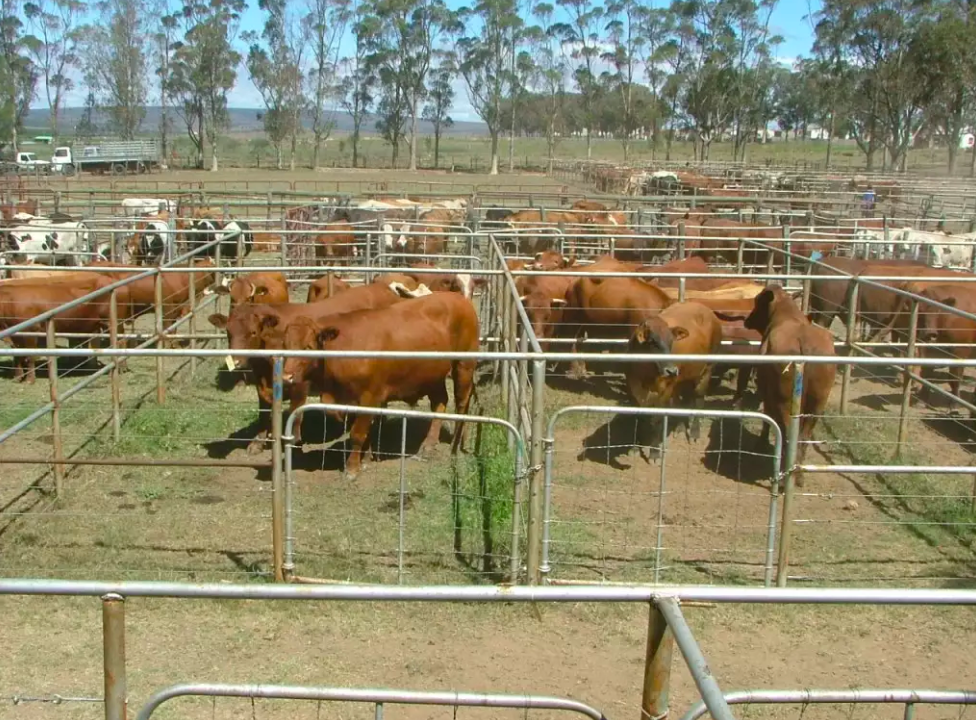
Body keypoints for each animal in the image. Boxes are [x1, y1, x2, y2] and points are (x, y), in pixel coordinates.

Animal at [269, 292, 480, 478]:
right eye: (285, 345)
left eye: (308, 347)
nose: (286, 377)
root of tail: (459, 298)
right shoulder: (352, 401)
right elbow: (364, 430)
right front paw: (366, 458)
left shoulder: (369, 396)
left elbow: (357, 433)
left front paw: (352, 469)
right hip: (432, 376)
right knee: (440, 403)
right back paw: (428, 446)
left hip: (464, 365)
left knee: (461, 403)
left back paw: (455, 443)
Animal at [625, 301, 724, 459]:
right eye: (652, 342)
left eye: (671, 342)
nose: (671, 370)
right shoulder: (634, 387)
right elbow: (638, 416)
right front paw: (635, 446)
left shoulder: (665, 390)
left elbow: (658, 418)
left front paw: (654, 452)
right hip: (680, 379)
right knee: (678, 402)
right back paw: (681, 428)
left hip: (708, 368)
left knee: (699, 397)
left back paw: (694, 432)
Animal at [744, 285, 837, 486]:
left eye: (757, 301)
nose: (747, 321)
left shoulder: (766, 392)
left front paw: (761, 443)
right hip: (817, 404)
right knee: (803, 437)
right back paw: (798, 475)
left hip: (785, 402)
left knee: (788, 434)